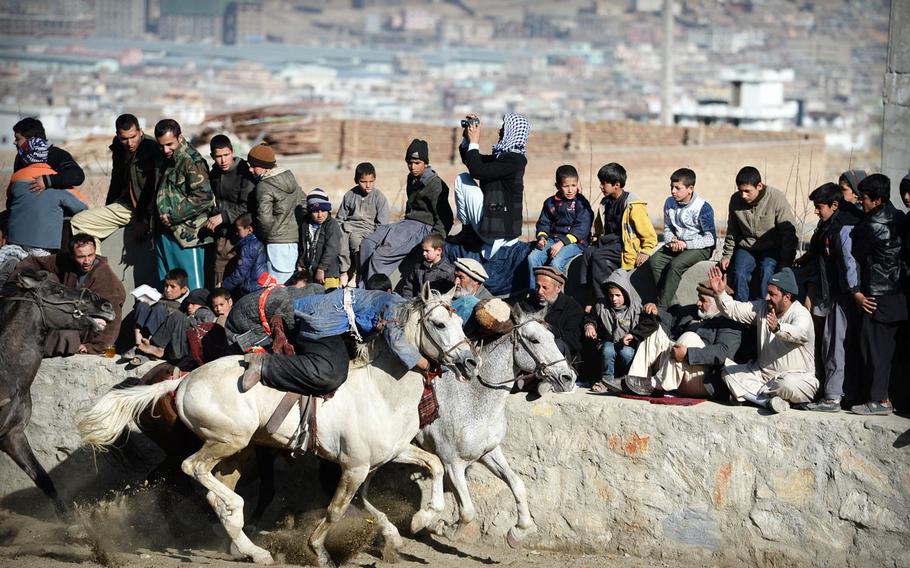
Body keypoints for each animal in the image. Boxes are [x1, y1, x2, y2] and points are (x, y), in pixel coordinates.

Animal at [80, 286, 478, 564]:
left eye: (461, 322)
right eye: (439, 323)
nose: (471, 362)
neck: (380, 390)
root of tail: (183, 380)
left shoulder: (385, 456)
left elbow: (431, 466)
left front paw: (421, 520)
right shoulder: (353, 466)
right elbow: (337, 508)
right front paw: (318, 550)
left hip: (237, 454)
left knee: (213, 495)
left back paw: (252, 550)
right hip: (226, 441)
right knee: (194, 469)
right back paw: (239, 519)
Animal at [416, 306, 576, 544]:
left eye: (552, 337)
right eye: (534, 339)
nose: (568, 378)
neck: (473, 400)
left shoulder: (489, 452)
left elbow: (517, 485)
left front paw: (520, 530)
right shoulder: (452, 463)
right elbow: (467, 511)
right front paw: (441, 527)